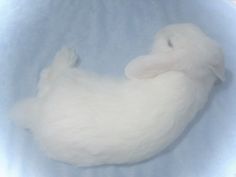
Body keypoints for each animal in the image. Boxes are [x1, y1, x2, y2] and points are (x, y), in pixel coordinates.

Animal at [11, 23, 225, 166]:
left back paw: (66, 55)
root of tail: (36, 115)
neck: (190, 77)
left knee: (48, 78)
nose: (161, 29)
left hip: (68, 80)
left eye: (170, 42)